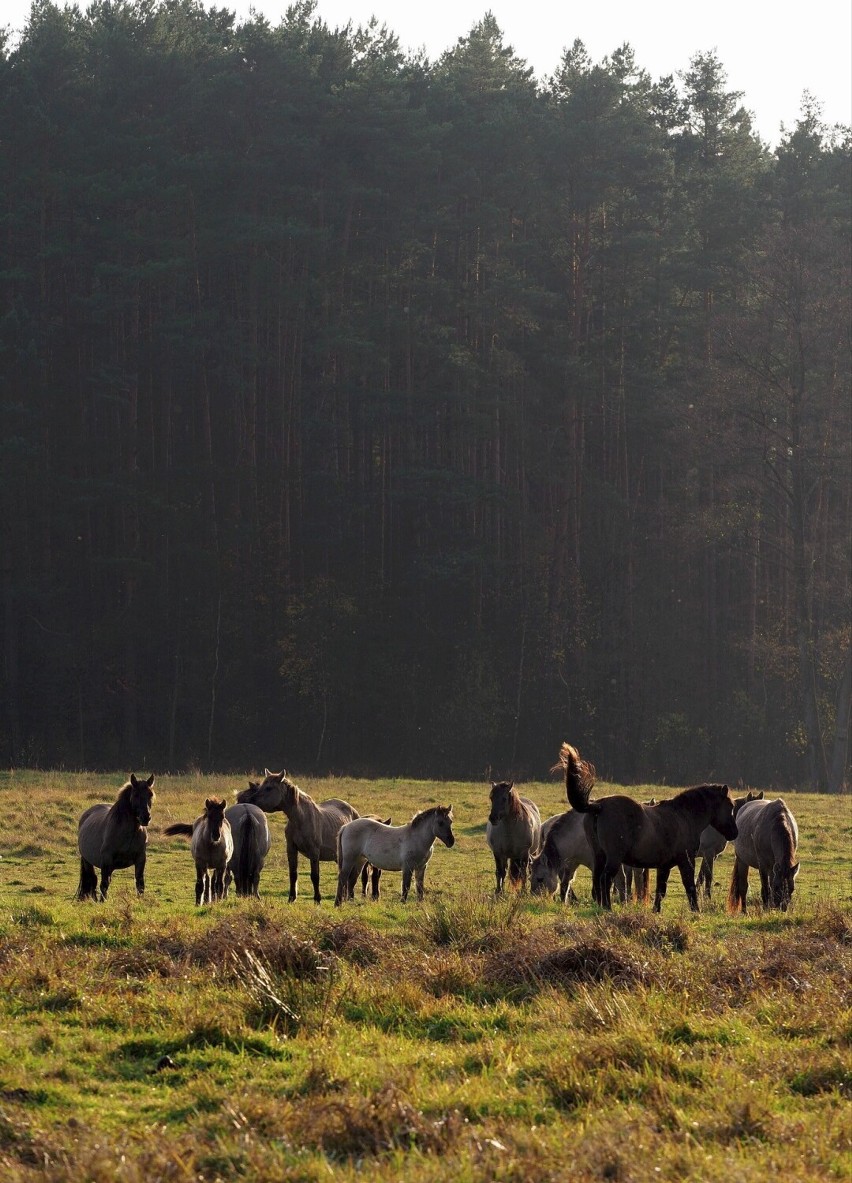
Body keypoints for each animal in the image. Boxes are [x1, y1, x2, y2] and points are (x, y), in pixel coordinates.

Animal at [76, 771, 156, 899]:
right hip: (87, 861)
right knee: (92, 879)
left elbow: (140, 884)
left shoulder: (140, 859)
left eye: (150, 794)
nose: (146, 818)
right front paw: (103, 901)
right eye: (136, 795)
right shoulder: (106, 860)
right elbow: (104, 884)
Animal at [236, 766, 359, 903]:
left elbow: (315, 876)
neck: (301, 818)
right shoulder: (291, 849)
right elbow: (293, 874)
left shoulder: (314, 852)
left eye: (268, 788)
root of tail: (352, 810)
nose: (249, 801)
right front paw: (291, 898)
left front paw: (317, 899)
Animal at [558, 738, 738, 913]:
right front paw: (696, 911)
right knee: (605, 879)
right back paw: (607, 908)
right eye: (730, 806)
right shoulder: (686, 861)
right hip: (614, 858)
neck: (683, 817)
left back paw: (601, 906)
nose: (734, 833)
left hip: (599, 855)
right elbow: (690, 886)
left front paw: (656, 910)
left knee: (597, 881)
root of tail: (598, 806)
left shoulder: (664, 866)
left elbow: (661, 890)